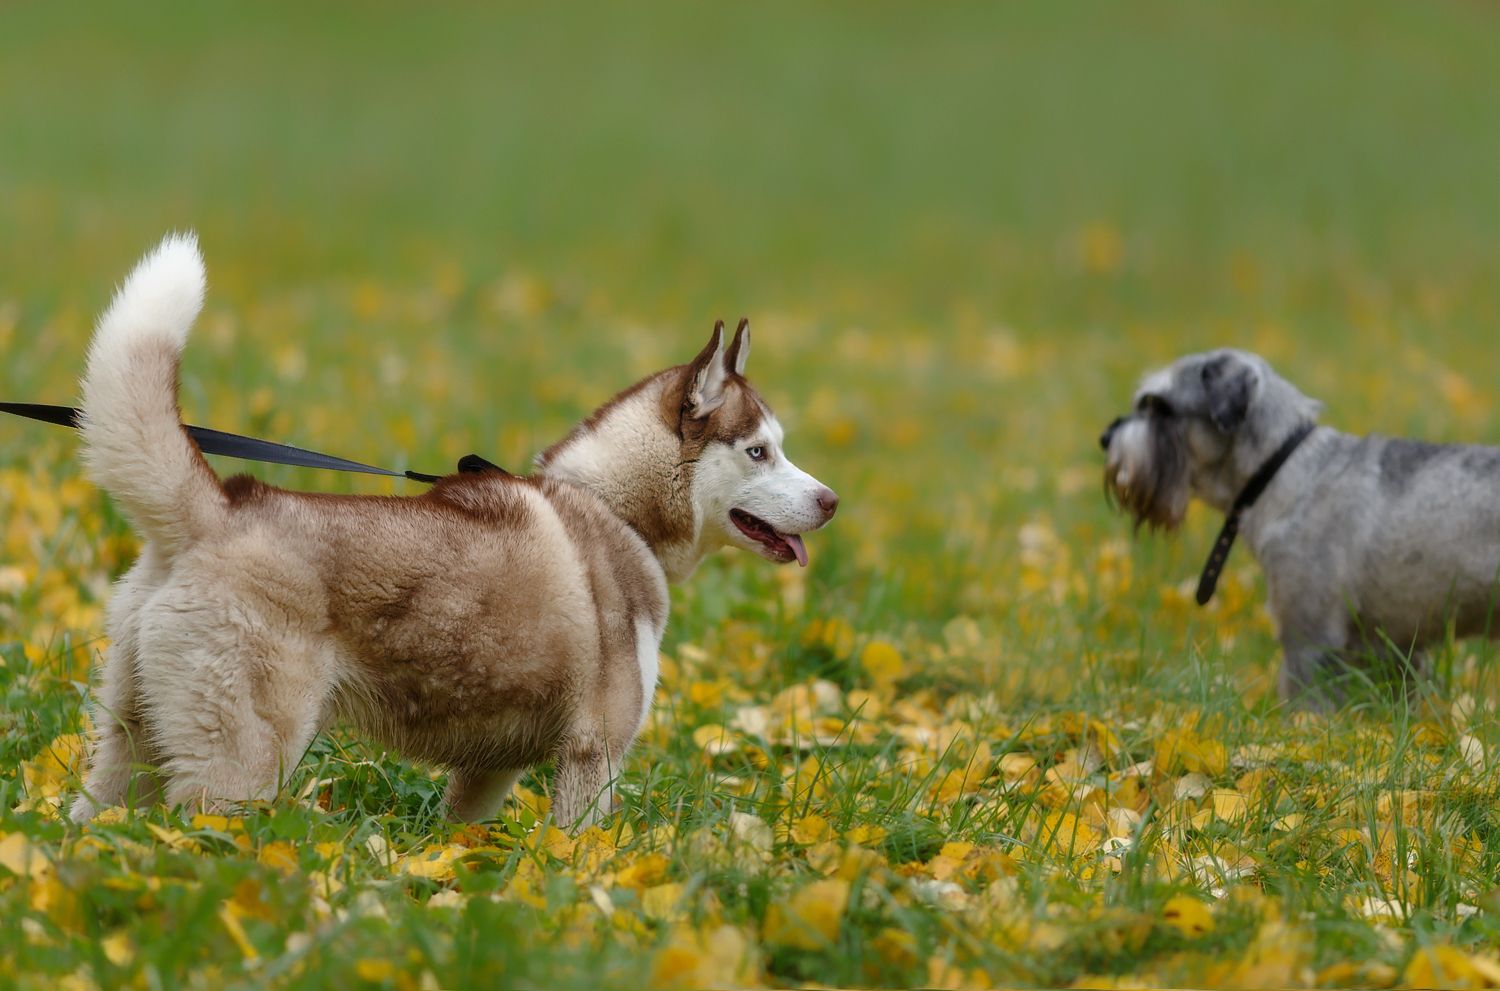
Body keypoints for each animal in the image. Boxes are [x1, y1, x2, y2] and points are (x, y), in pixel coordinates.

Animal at [69, 234, 838, 827]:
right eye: (759, 451)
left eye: (780, 446)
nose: (831, 500)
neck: (615, 511)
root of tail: (218, 508)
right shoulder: (595, 752)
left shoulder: (489, 768)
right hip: (242, 770)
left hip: (131, 751)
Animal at [1101, 347, 1500, 706]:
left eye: (1158, 406)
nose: (1105, 437)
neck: (1284, 468)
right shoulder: (1395, 648)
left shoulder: (1309, 638)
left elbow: (1305, 704)